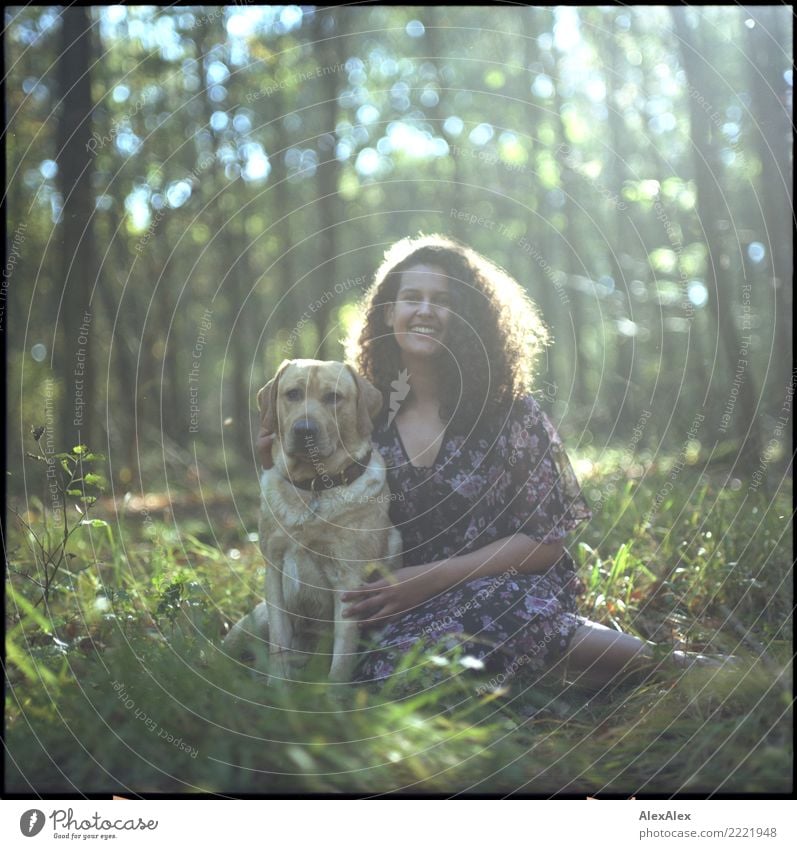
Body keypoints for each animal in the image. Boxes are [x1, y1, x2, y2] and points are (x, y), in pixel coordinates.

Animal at [224, 360, 402, 684]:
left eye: (333, 397)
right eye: (292, 394)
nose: (304, 430)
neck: (314, 487)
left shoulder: (348, 582)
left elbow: (341, 662)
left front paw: (332, 695)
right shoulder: (274, 571)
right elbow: (279, 645)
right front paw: (277, 689)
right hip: (251, 623)